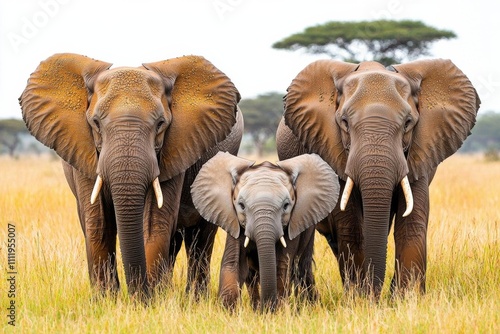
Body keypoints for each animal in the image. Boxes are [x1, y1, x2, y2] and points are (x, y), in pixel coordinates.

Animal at [20, 53, 243, 298]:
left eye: (161, 124)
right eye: (95, 123)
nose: (137, 295)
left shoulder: (176, 147)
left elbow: (154, 222)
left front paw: (148, 300)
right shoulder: (83, 149)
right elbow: (98, 221)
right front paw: (107, 300)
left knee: (200, 239)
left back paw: (192, 298)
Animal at [191, 151, 340, 310]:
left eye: (286, 205)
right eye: (241, 205)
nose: (266, 307)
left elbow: (281, 266)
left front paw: (275, 311)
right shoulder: (234, 221)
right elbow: (233, 263)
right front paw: (228, 310)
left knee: (302, 268)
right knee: (252, 276)